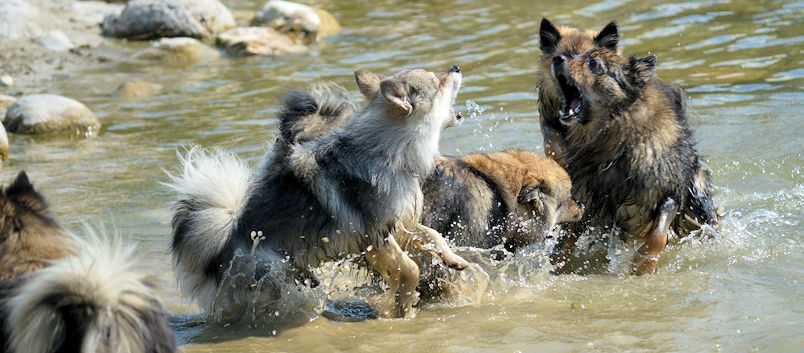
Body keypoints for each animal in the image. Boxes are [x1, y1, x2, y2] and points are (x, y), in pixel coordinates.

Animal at [168, 66, 472, 320]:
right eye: (439, 83)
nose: (456, 67)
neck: (388, 154)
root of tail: (218, 244)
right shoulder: (377, 239)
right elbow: (411, 268)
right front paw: (404, 306)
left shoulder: (399, 225)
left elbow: (432, 235)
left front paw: (454, 259)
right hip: (269, 276)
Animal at [536, 17, 720, 274]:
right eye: (561, 55)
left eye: (593, 62)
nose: (558, 61)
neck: (610, 144)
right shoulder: (585, 198)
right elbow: (564, 243)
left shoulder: (667, 194)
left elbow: (658, 234)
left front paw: (642, 266)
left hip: (698, 200)